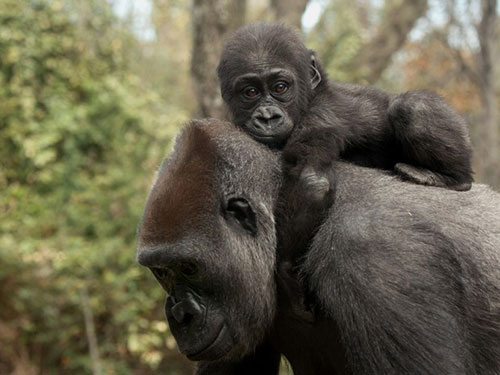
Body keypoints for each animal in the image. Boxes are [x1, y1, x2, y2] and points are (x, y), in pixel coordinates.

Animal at [218, 22, 472, 206]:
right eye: (251, 92)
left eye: (280, 87)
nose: (267, 117)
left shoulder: (320, 117)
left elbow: (312, 182)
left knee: (412, 107)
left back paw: (450, 178)